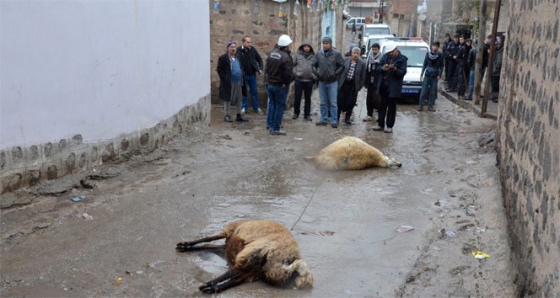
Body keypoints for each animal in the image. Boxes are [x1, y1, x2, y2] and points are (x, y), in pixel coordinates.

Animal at [175, 219, 312, 294]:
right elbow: (208, 242)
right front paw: (185, 246)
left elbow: (208, 239)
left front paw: (184, 245)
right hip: (255, 267)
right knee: (236, 276)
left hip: (251, 256)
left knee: (234, 272)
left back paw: (209, 286)